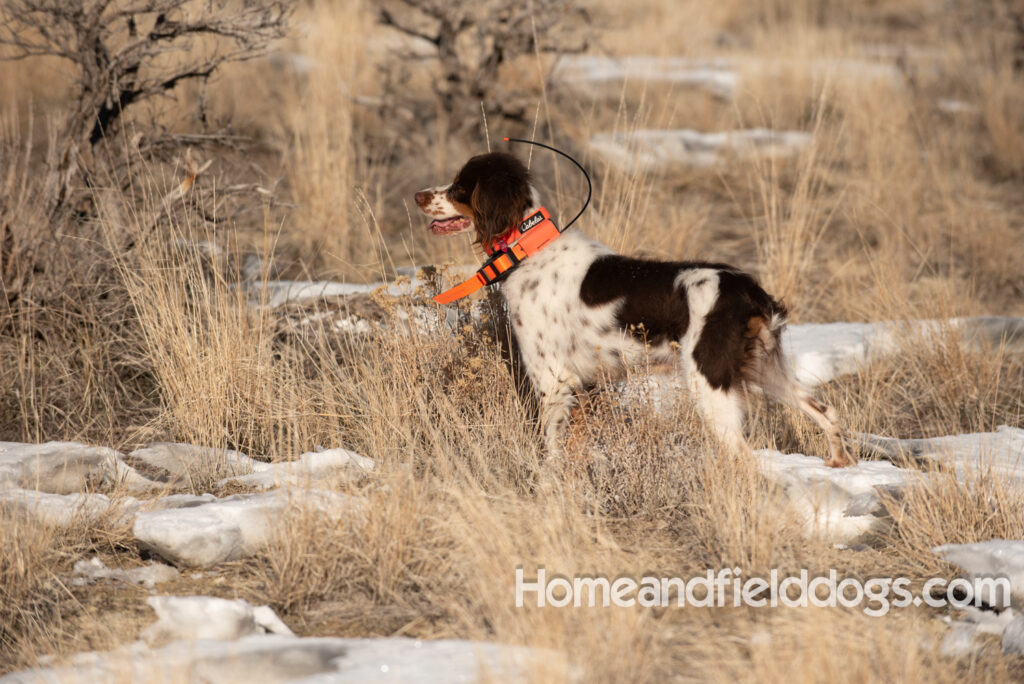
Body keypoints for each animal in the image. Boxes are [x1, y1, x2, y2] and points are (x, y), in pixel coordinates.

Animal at [411, 151, 851, 466]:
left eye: (460, 187)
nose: (417, 195)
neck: (529, 249)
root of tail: (748, 289)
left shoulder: (553, 379)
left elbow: (550, 451)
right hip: (765, 368)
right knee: (826, 412)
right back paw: (838, 464)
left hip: (710, 384)